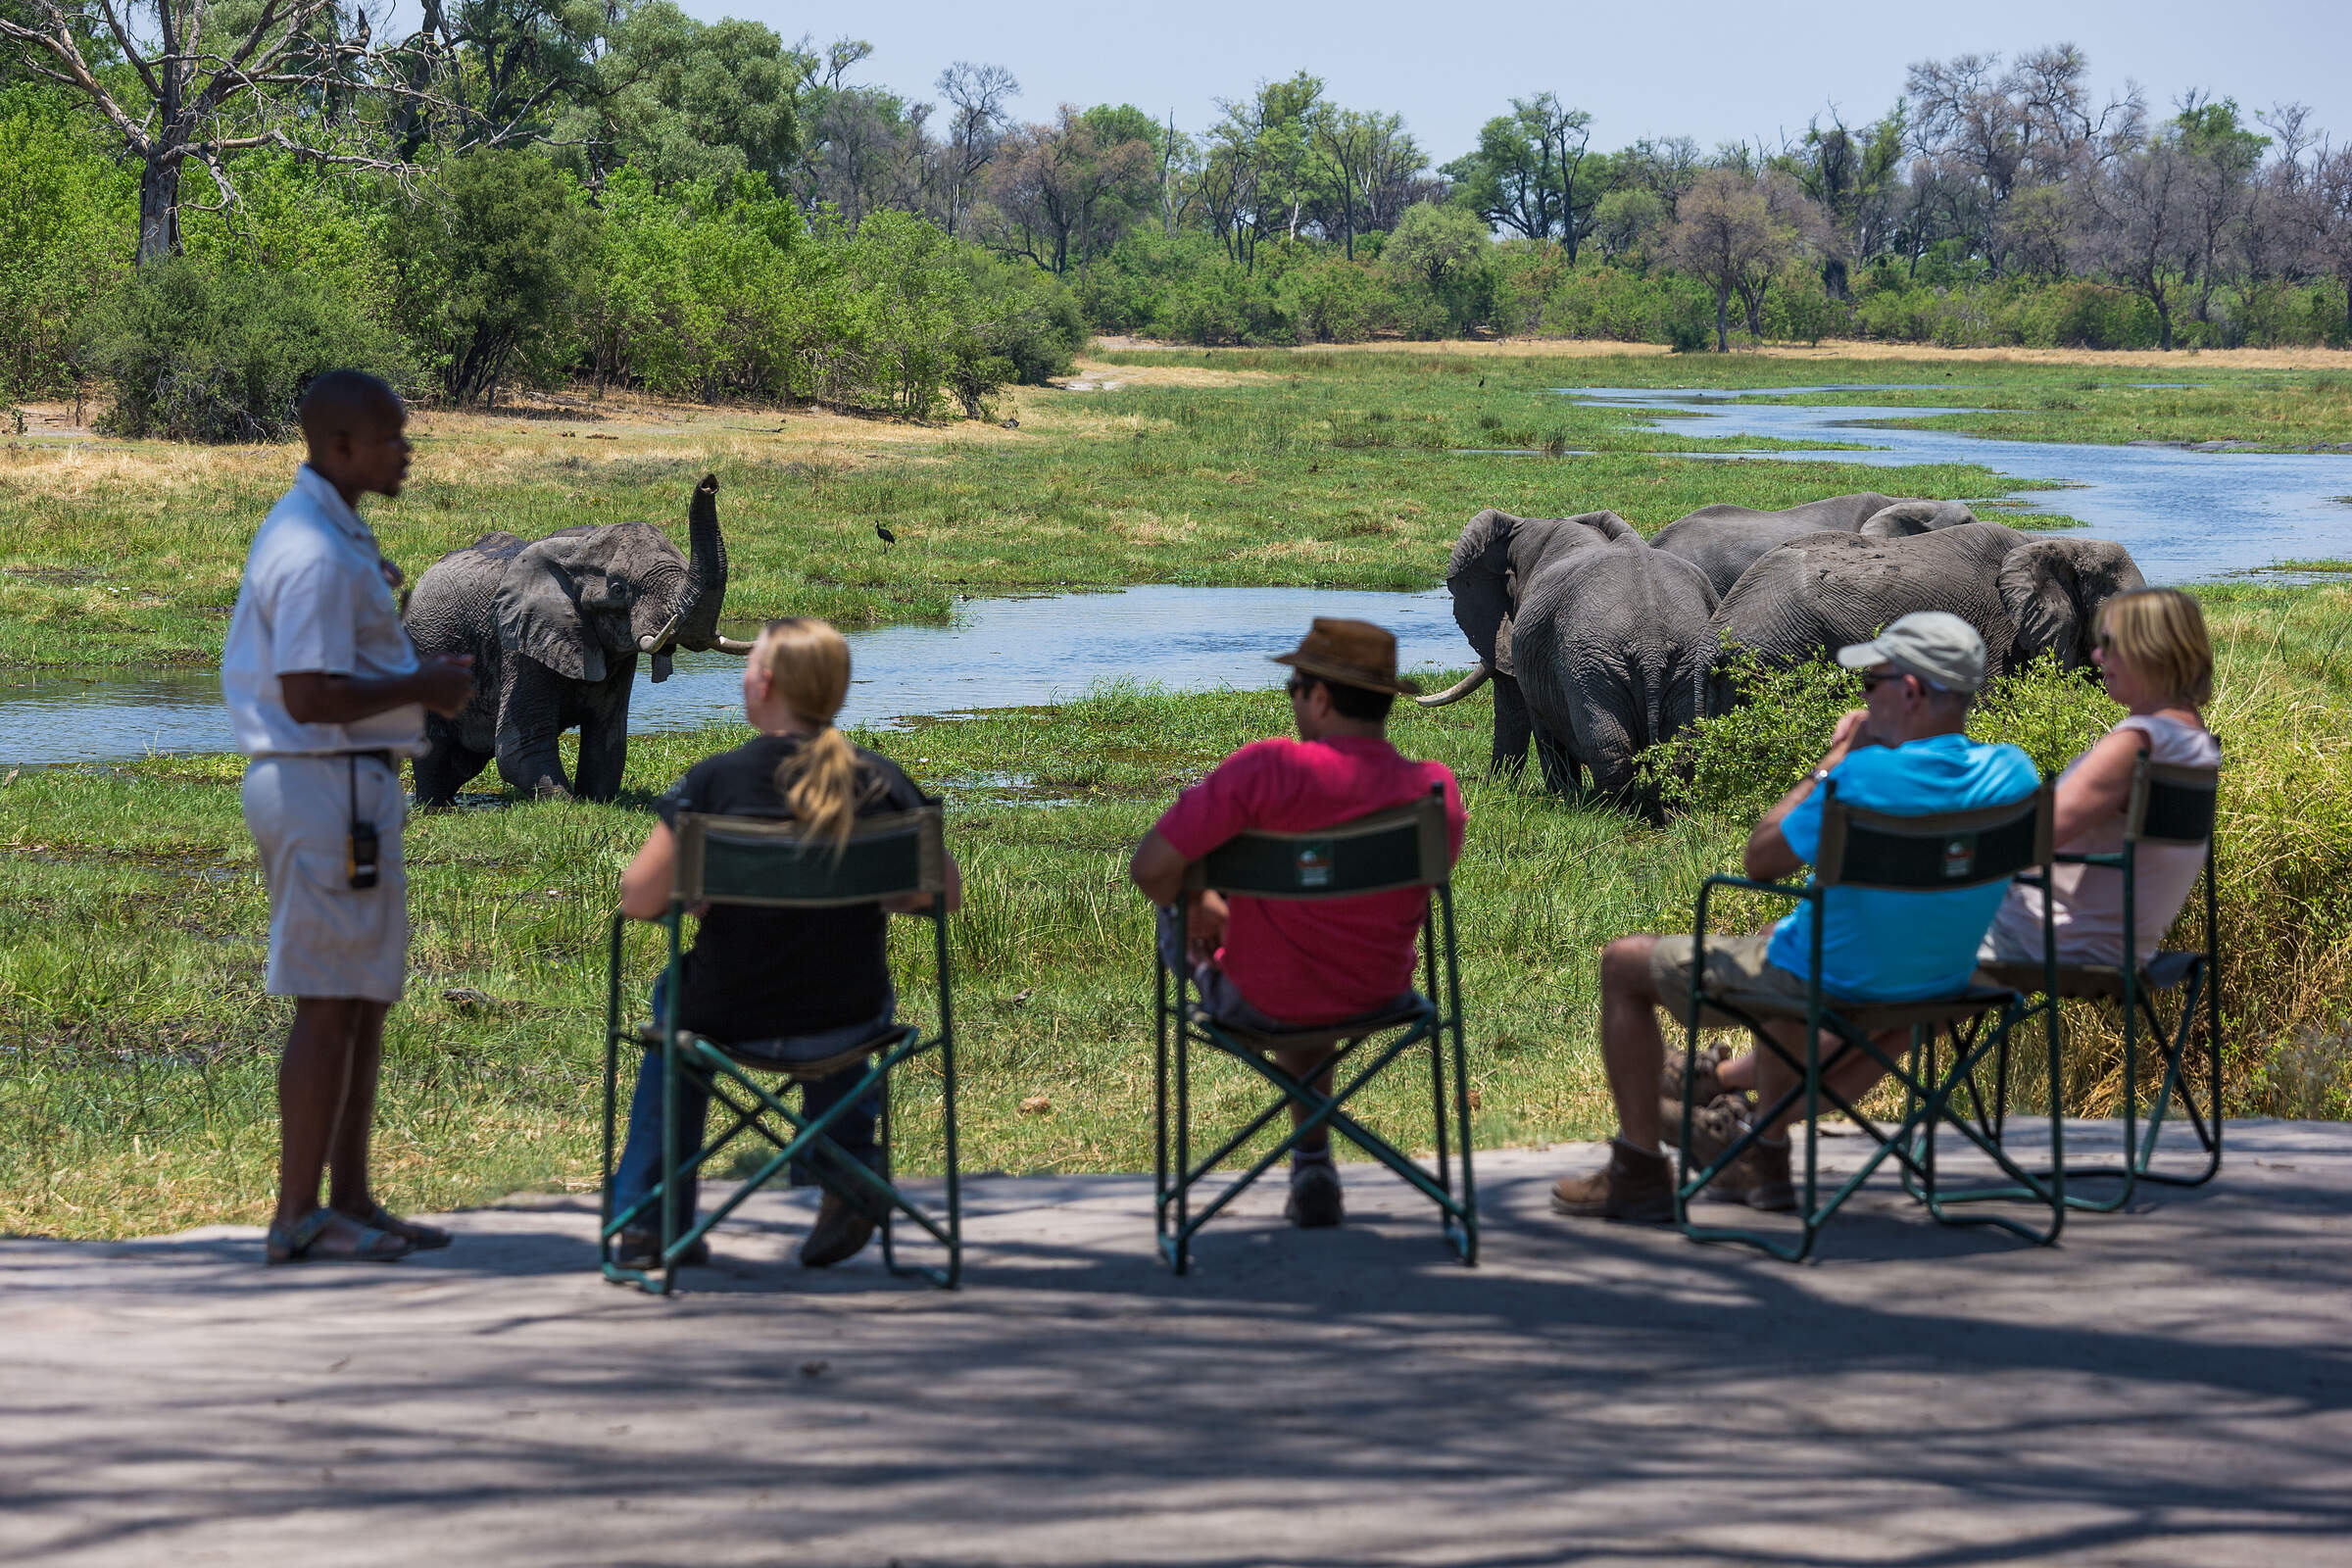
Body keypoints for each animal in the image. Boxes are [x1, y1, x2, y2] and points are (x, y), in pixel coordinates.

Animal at [404, 472, 753, 804]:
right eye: (618, 589)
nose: (709, 484)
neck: (579, 547)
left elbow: (608, 739)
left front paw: (597, 800)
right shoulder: (520, 643)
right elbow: (518, 747)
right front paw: (567, 804)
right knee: (435, 751)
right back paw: (436, 806)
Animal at [1420, 512, 1721, 822]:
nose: (1494, 789)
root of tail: (1650, 645)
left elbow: (1541, 725)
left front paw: (1562, 797)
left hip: (1592, 667)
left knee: (1611, 750)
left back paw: (1610, 815)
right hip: (1685, 662)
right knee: (1677, 751)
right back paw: (1674, 816)